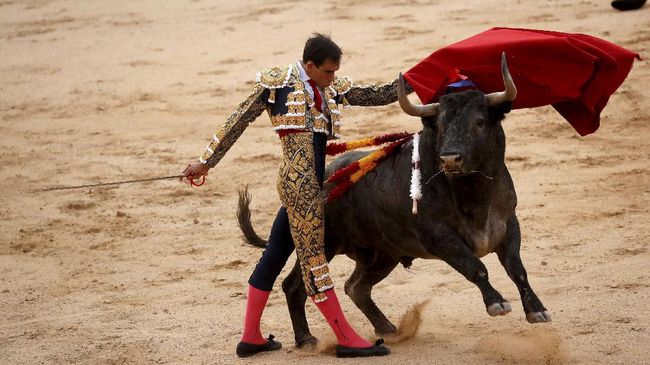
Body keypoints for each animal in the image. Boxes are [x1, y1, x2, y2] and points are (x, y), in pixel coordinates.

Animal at [235, 55, 548, 346]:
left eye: (480, 122)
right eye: (440, 125)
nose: (450, 159)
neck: (474, 194)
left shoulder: (508, 223)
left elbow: (518, 270)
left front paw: (537, 310)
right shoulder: (439, 237)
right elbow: (476, 267)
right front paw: (497, 303)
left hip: (382, 255)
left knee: (355, 287)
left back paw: (387, 329)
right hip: (322, 243)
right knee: (296, 286)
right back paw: (306, 339)